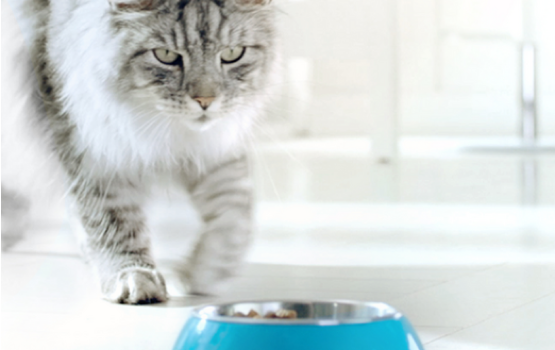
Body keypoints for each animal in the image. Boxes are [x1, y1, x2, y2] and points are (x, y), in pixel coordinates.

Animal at [0, 0, 278, 304]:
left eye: (232, 54)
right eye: (166, 56)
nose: (205, 100)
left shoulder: (215, 150)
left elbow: (233, 217)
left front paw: (201, 274)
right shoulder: (92, 143)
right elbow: (115, 224)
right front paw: (133, 277)